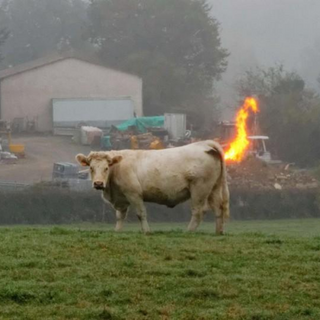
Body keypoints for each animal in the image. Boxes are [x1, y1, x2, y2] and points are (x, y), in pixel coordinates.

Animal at [76, 139, 229, 232]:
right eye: (91, 168)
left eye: (106, 168)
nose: (98, 183)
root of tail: (204, 144)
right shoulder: (121, 198)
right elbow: (120, 216)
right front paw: (117, 231)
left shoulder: (134, 194)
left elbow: (141, 213)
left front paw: (146, 231)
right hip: (213, 188)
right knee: (218, 208)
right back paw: (219, 232)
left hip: (200, 189)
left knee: (198, 211)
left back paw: (188, 231)